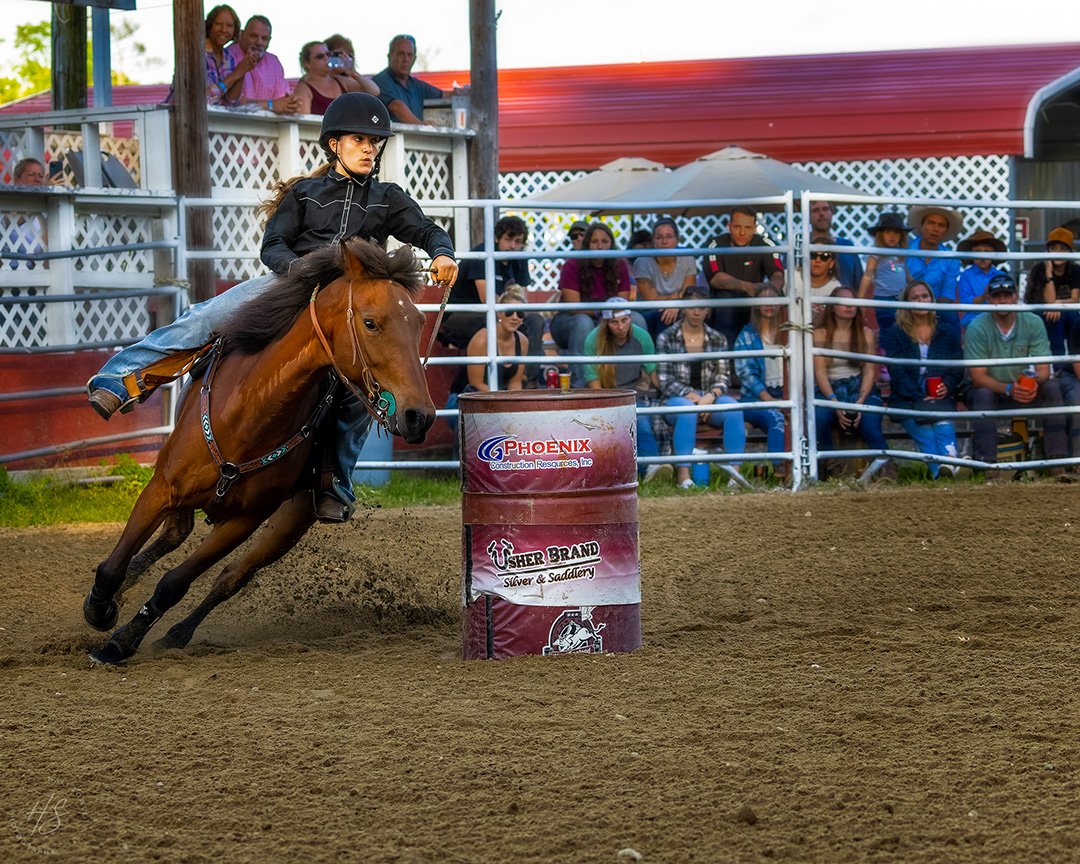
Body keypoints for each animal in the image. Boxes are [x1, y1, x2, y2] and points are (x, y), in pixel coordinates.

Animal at [83, 239, 434, 665]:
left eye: (418, 323)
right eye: (370, 322)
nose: (420, 416)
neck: (249, 411)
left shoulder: (246, 520)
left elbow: (175, 583)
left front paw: (122, 640)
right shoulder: (161, 487)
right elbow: (113, 566)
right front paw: (100, 608)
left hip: (289, 523)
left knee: (231, 576)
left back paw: (178, 634)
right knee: (174, 534)